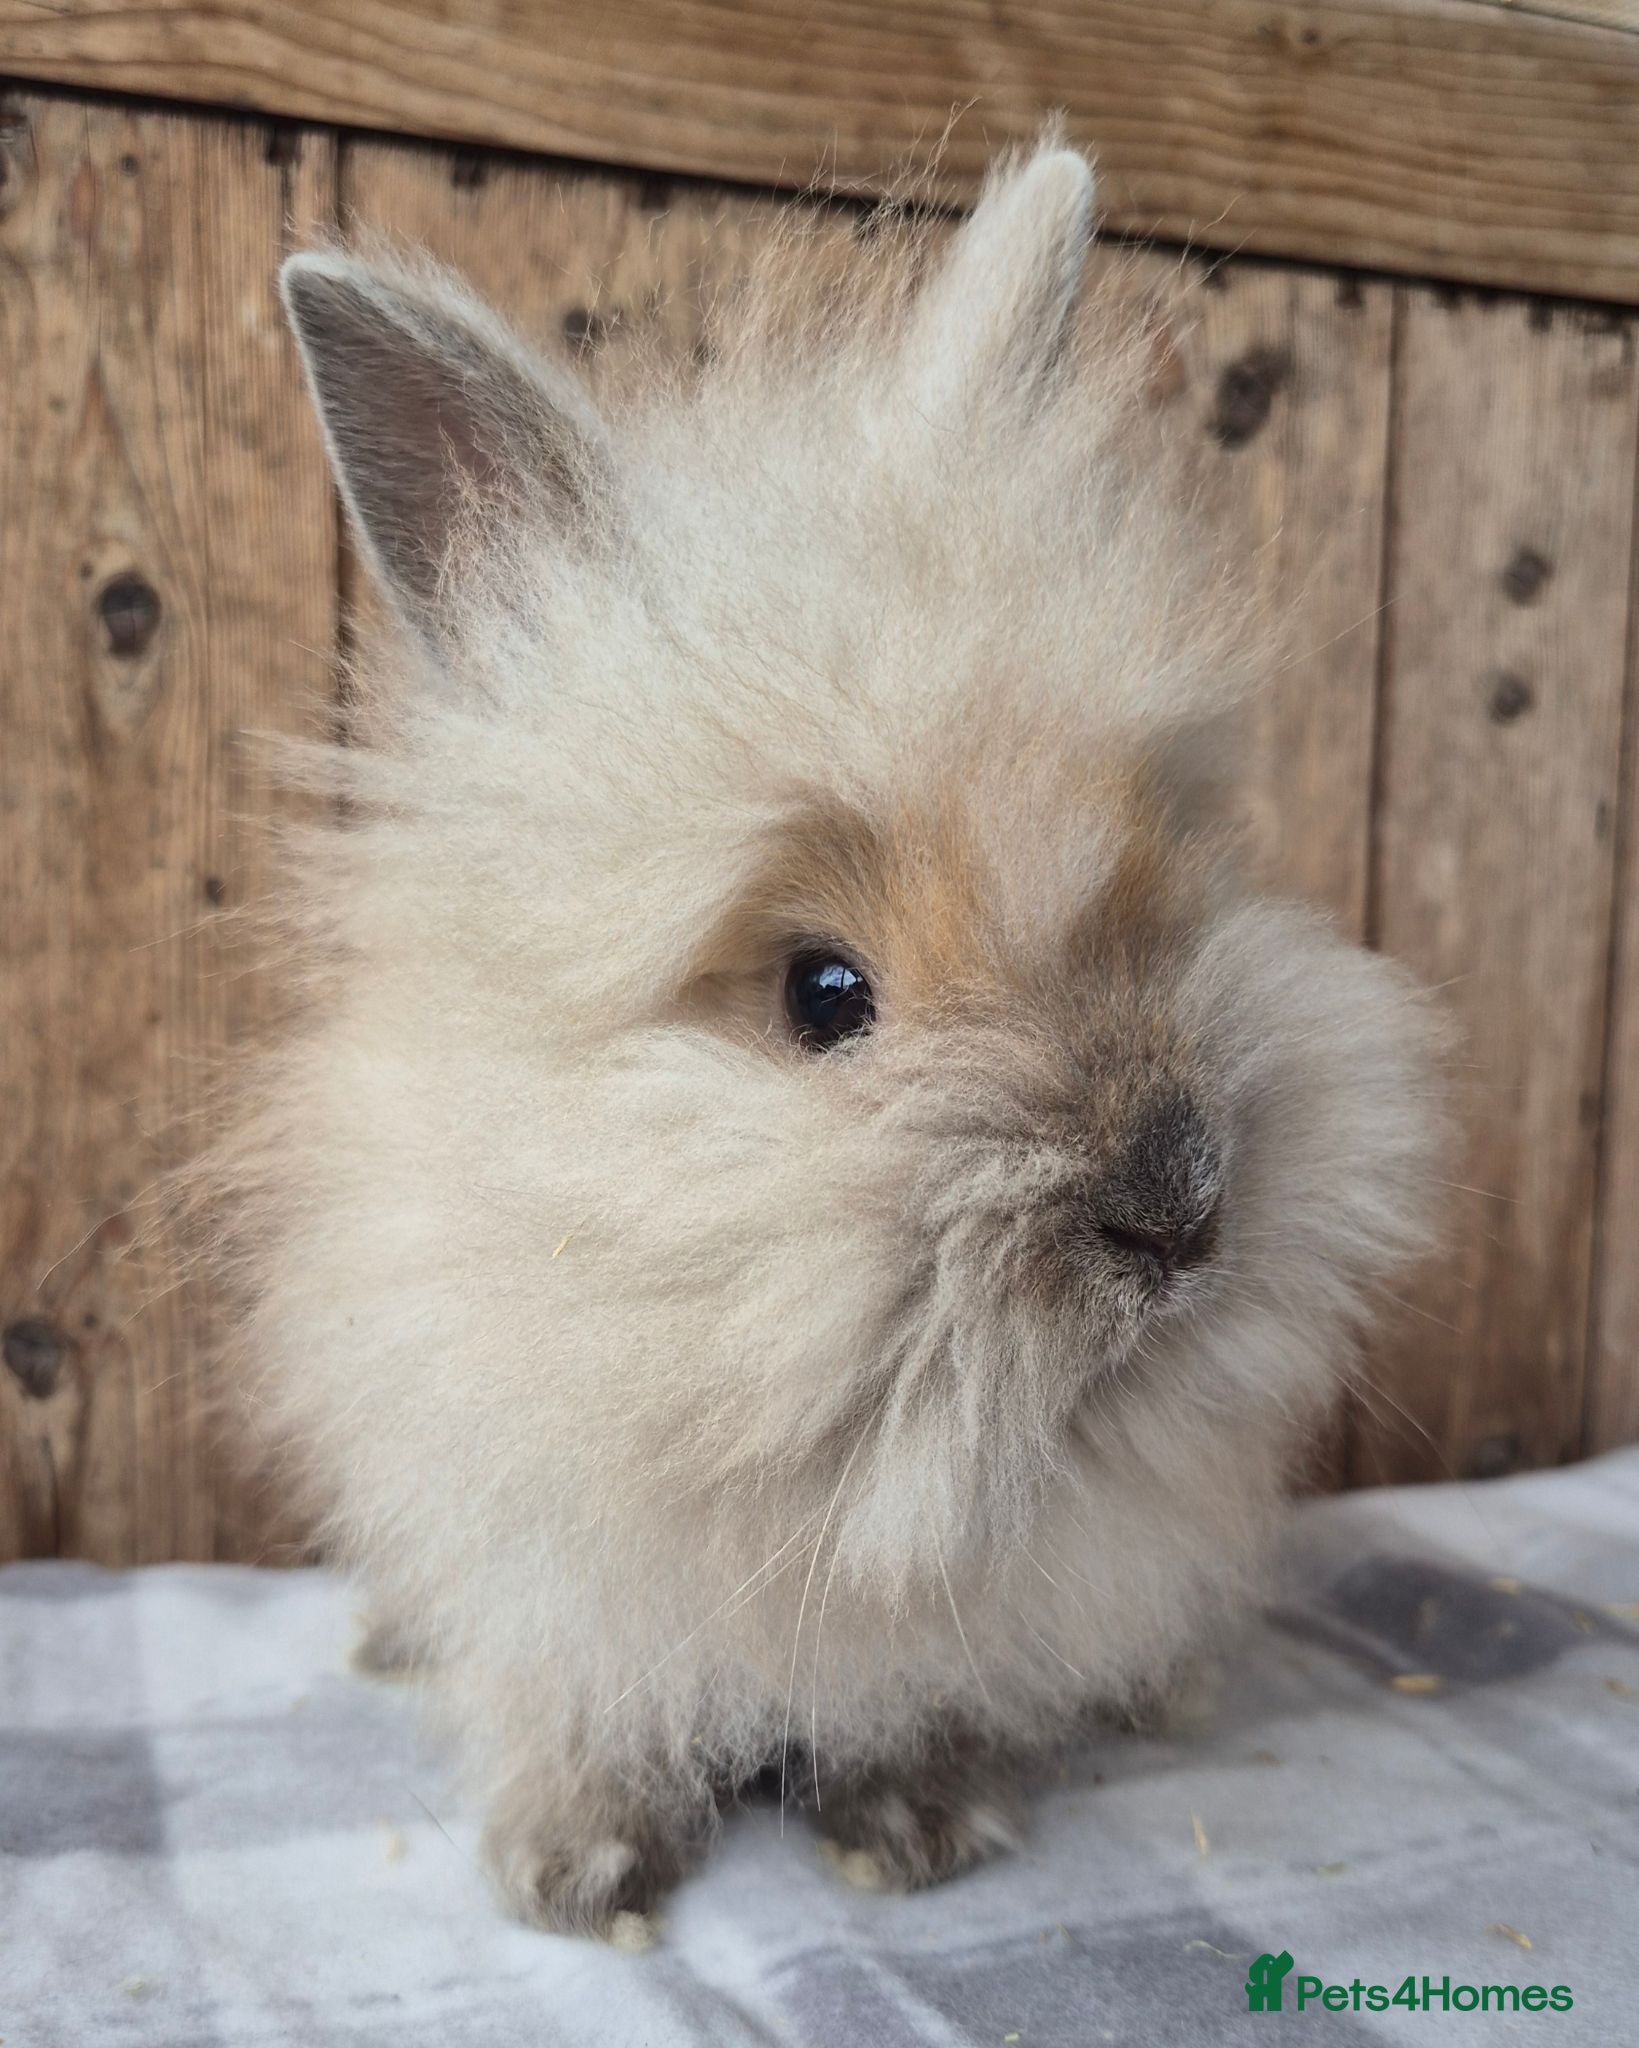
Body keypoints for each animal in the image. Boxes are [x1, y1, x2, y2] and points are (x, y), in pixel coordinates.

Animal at [231, 141, 1445, 1941]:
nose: (1179, 1206)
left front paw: (913, 1822)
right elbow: (574, 1696)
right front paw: (572, 1872)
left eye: (1164, 896)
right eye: (820, 995)